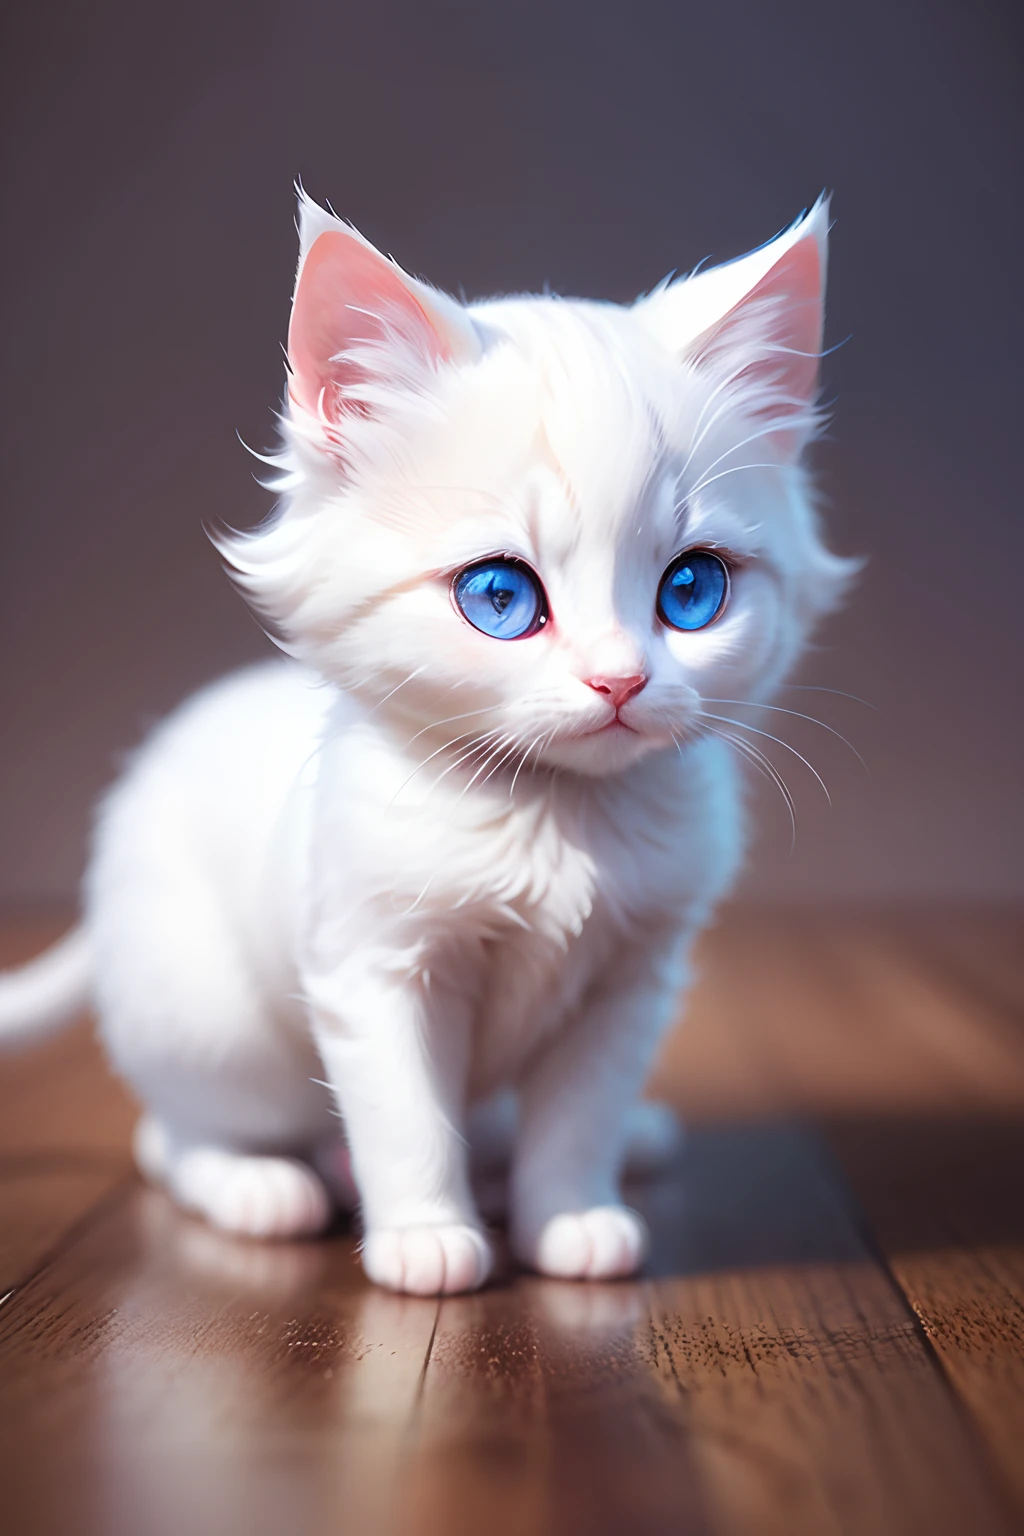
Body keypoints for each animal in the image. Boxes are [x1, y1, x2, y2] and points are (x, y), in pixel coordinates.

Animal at [0, 195, 847, 1296]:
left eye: (692, 589)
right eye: (500, 598)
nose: (620, 680)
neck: (552, 815)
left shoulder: (628, 983)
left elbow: (577, 1118)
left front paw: (569, 1218)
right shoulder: (376, 966)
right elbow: (407, 1118)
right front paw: (427, 1241)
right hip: (215, 1027)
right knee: (172, 1135)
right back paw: (266, 1188)